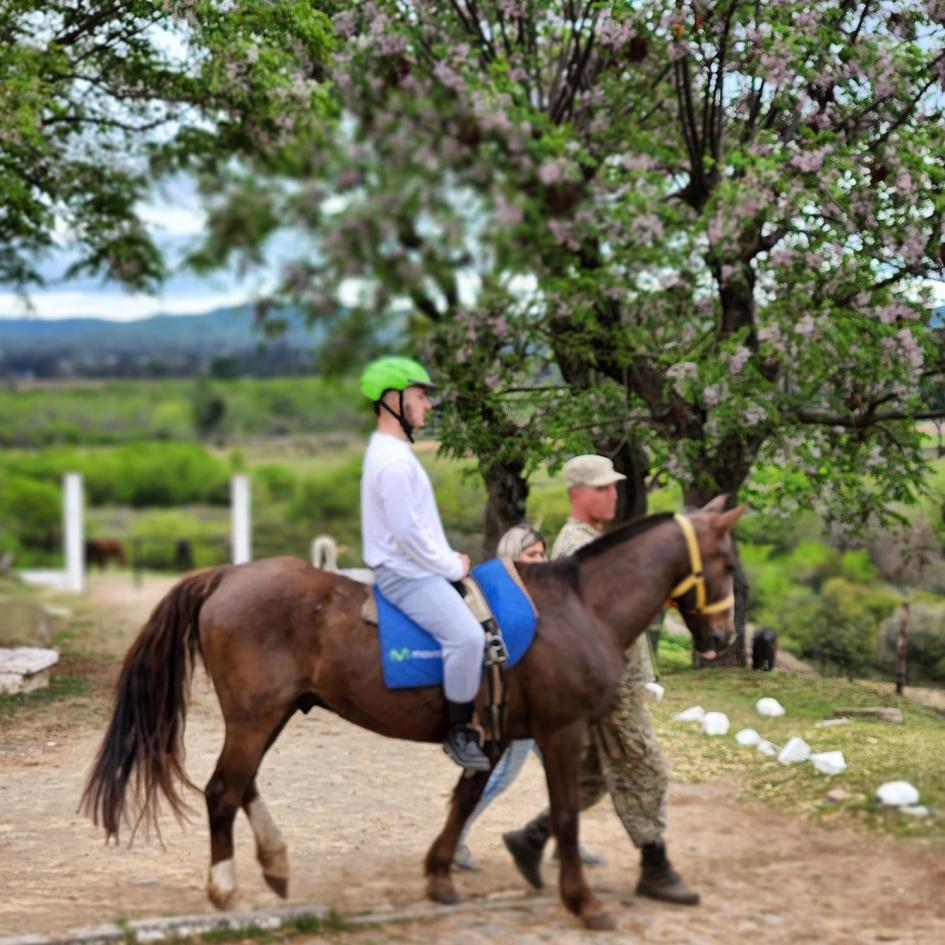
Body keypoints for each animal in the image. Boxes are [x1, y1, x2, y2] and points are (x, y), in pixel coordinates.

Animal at [81, 498, 740, 924]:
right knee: (223, 791)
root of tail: (224, 577)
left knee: (242, 787)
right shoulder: (561, 732)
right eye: (729, 564)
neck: (577, 606)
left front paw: (441, 875)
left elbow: (465, 802)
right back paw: (225, 886)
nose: (724, 637)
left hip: (271, 715)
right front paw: (584, 901)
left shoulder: (493, 734)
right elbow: (565, 814)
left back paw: (275, 864)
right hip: (254, 718)